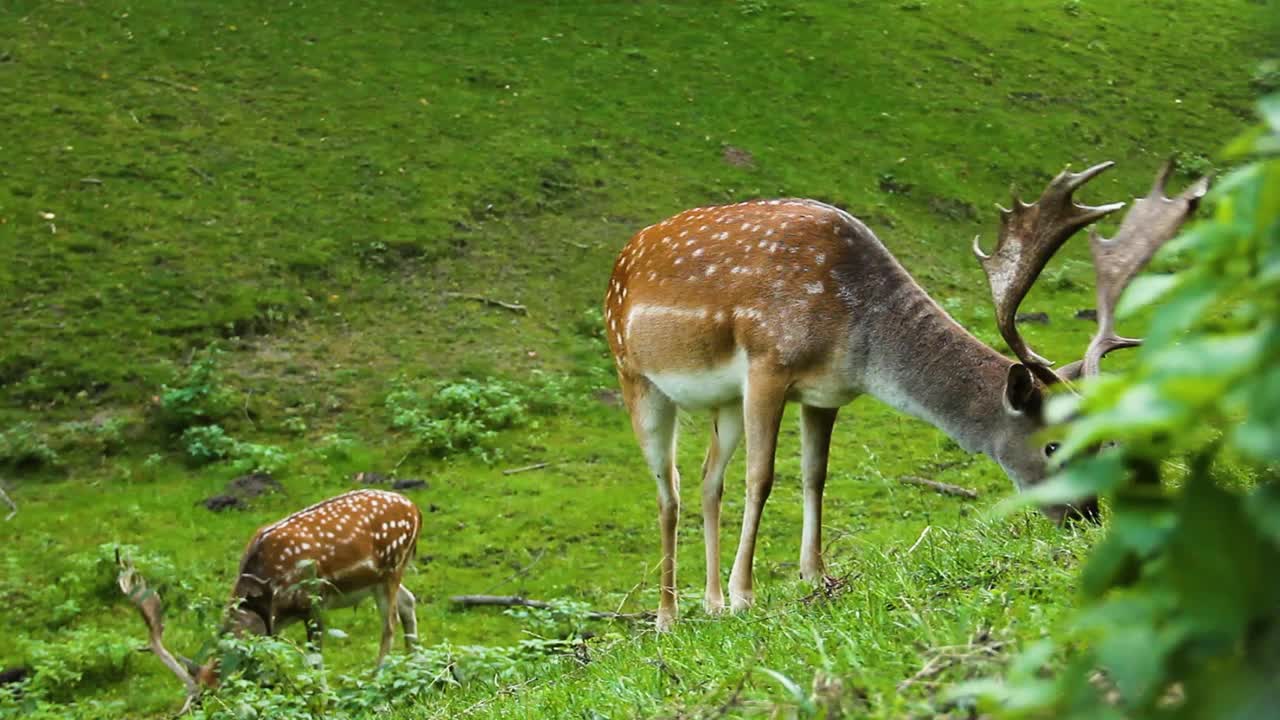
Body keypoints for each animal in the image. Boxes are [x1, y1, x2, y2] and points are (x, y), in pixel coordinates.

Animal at [117, 484, 422, 707]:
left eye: (210, 699)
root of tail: (416, 510)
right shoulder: (275, 624)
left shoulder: (312, 601)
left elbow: (314, 660)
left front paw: (323, 699)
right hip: (382, 578)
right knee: (408, 601)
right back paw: (413, 665)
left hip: (392, 566)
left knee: (389, 623)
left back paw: (377, 679)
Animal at [609, 159, 1208, 625]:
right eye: (1053, 445)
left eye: (1104, 442)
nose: (1087, 519)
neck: (857, 334)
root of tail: (622, 257)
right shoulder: (768, 364)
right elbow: (762, 478)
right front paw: (744, 595)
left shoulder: (824, 393)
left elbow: (814, 476)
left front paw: (815, 576)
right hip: (635, 375)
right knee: (670, 491)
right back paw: (668, 616)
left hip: (722, 402)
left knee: (708, 479)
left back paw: (707, 603)